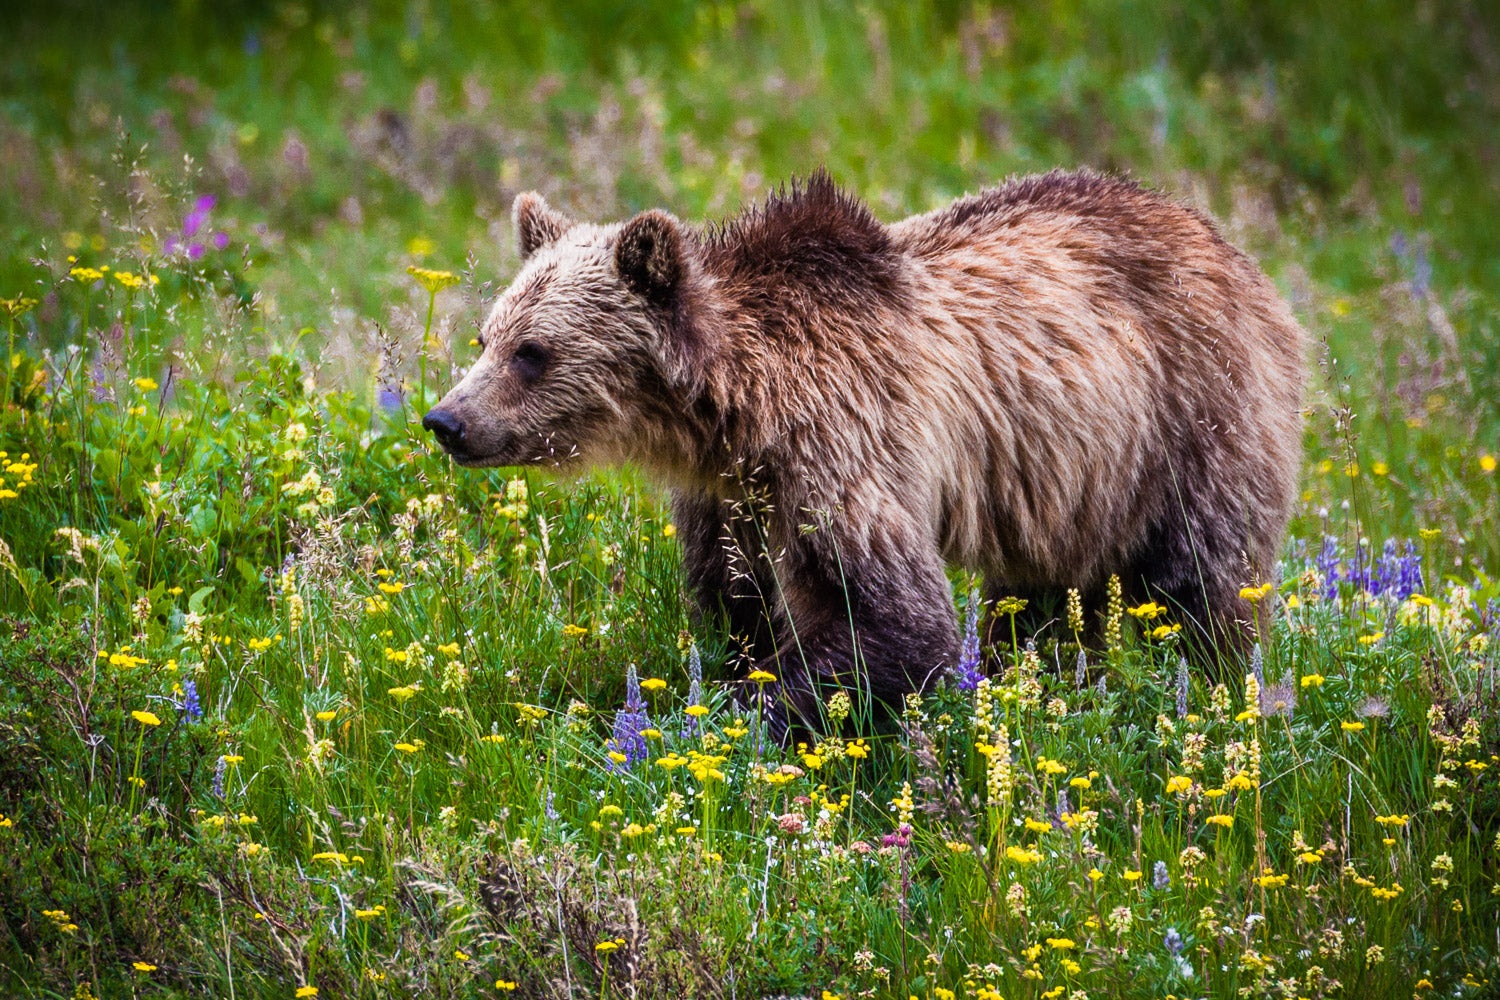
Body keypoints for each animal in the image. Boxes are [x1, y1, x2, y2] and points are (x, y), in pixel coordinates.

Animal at [423, 169, 1306, 733]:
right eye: (485, 337)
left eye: (533, 352)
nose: (447, 420)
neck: (732, 409)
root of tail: (1227, 244)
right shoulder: (733, 495)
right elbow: (739, 605)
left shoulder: (841, 446)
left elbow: (887, 619)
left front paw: (735, 721)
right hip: (1071, 484)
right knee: (1046, 600)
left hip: (1194, 417)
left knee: (1199, 580)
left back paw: (1215, 688)